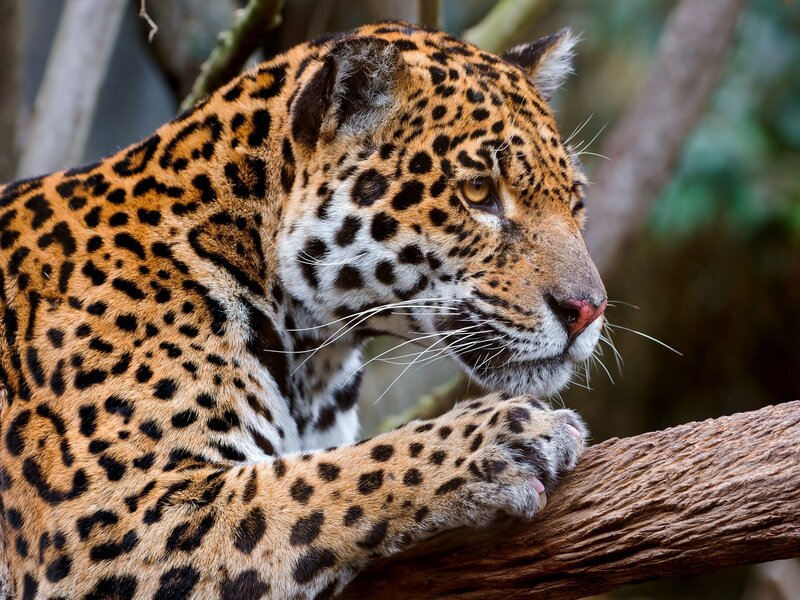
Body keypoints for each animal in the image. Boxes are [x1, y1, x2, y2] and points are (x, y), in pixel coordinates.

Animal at [0, 21, 607, 599]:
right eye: (478, 192)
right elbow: (320, 480)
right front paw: (502, 438)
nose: (588, 310)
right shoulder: (104, 524)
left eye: (576, 201)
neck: (314, 352)